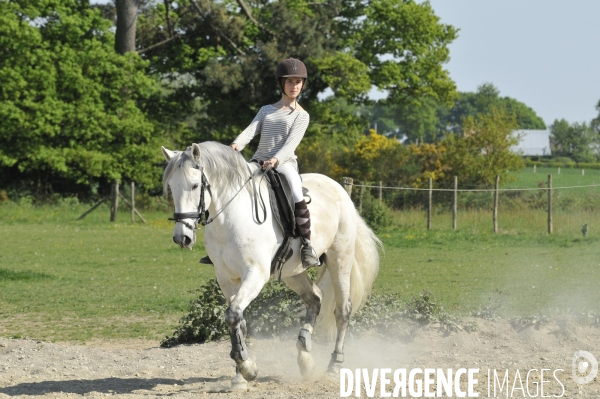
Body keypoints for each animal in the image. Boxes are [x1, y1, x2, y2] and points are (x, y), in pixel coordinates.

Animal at [162, 142, 380, 390]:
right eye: (171, 187)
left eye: (195, 185)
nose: (182, 238)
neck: (231, 217)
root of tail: (339, 190)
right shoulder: (226, 278)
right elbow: (238, 320)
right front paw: (240, 376)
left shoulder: (255, 274)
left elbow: (233, 315)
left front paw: (247, 369)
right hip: (293, 272)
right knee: (314, 298)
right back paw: (305, 358)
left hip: (340, 258)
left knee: (342, 310)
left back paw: (333, 369)